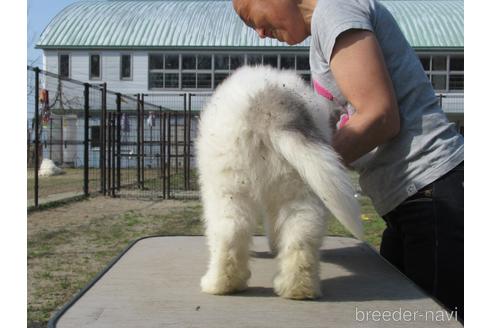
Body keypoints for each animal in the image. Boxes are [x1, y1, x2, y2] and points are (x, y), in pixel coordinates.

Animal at [196, 66, 362, 300]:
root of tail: (270, 108)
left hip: (228, 185)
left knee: (229, 231)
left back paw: (219, 284)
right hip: (299, 185)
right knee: (302, 232)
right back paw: (299, 288)